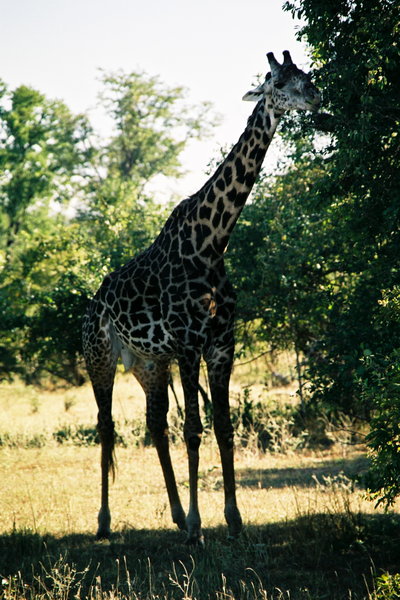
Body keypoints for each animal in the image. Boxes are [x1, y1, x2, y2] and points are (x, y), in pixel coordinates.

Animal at [83, 51, 320, 544]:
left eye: (305, 75)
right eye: (279, 81)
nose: (315, 96)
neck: (211, 242)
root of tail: (93, 303)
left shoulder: (221, 344)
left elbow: (224, 428)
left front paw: (233, 520)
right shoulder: (189, 345)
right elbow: (194, 430)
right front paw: (197, 527)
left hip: (149, 363)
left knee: (155, 425)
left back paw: (172, 514)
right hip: (99, 356)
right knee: (107, 427)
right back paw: (105, 521)